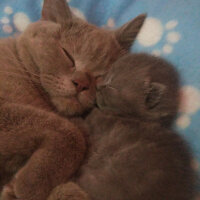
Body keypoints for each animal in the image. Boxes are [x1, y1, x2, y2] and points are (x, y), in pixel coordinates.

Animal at [0, 0, 146, 200]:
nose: (81, 83)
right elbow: (70, 133)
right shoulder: (8, 111)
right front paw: (31, 185)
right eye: (67, 54)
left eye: (101, 76)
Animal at [49, 52, 196, 200]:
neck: (131, 117)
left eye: (111, 85)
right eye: (108, 74)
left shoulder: (94, 129)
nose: (98, 86)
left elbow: (81, 124)